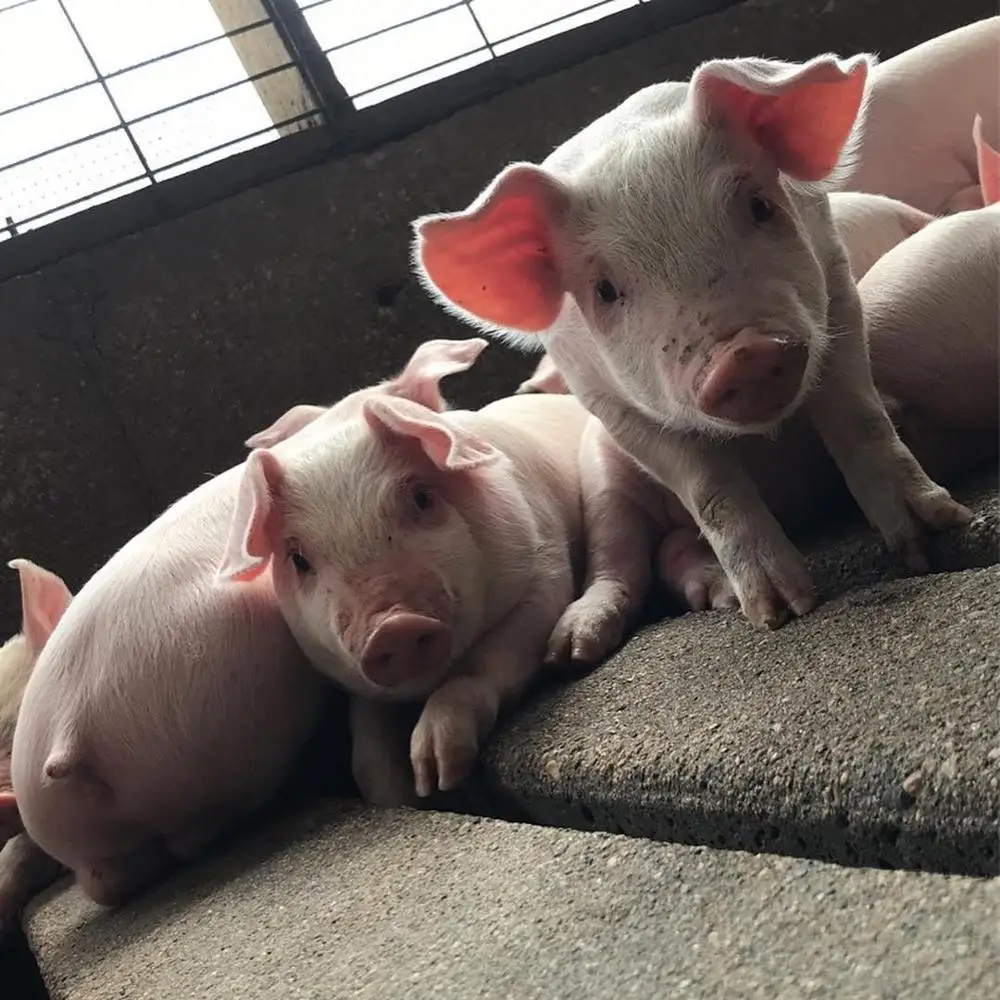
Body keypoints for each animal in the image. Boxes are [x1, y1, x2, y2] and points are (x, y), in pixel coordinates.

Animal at [216, 342, 586, 805]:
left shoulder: (545, 572)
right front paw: (414, 797)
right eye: (298, 558)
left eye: (422, 497)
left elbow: (484, 664)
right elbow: (367, 749)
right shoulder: (357, 682)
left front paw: (438, 773)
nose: (393, 627)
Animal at [412, 52, 972, 630]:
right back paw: (586, 635)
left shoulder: (836, 288)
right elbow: (710, 489)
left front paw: (937, 538)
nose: (745, 352)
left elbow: (857, 415)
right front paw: (778, 613)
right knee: (622, 559)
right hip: (602, 482)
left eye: (760, 205)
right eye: (605, 289)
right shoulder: (606, 401)